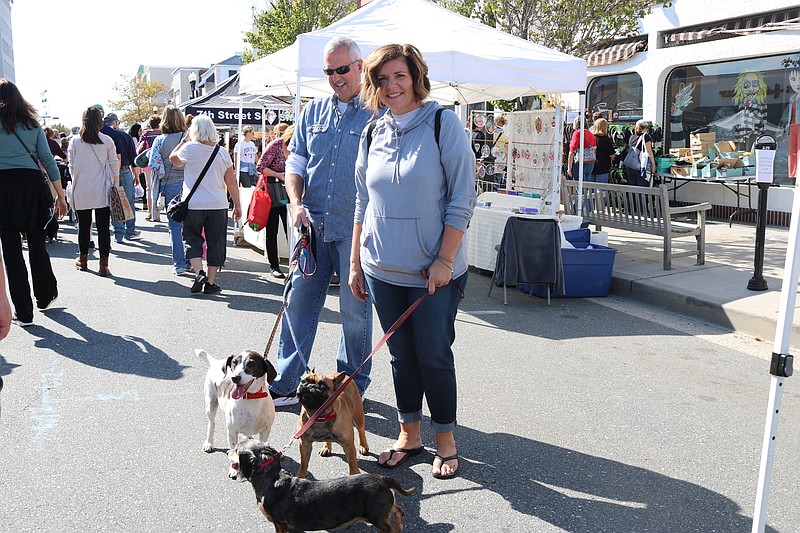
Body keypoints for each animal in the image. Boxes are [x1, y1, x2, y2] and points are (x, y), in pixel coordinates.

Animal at [197, 348, 278, 476]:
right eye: (234, 362)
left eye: (251, 364)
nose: (235, 378)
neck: (251, 398)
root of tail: (216, 362)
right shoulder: (232, 432)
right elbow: (234, 452)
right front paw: (234, 469)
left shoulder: (266, 429)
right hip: (210, 404)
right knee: (212, 423)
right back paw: (209, 443)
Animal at [230, 438, 412, 528]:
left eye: (236, 449)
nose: (228, 450)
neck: (271, 478)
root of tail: (383, 479)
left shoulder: (280, 524)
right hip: (385, 507)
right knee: (399, 511)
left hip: (376, 516)